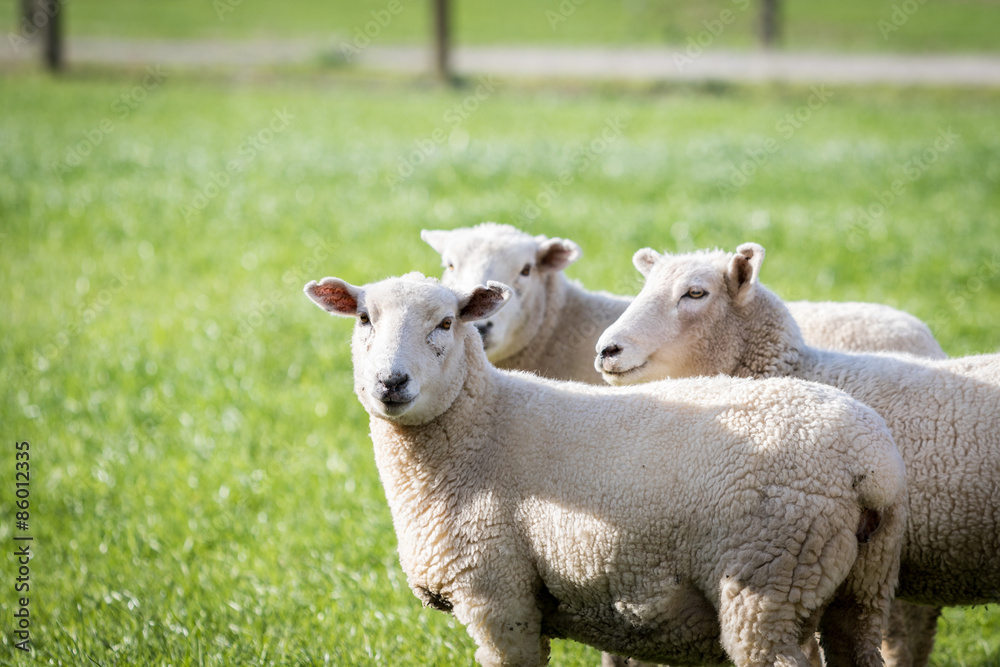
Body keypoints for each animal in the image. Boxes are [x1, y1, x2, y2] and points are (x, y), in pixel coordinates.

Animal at [302, 272, 908, 667]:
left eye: (446, 323)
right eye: (364, 318)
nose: (391, 382)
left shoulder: (498, 597)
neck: (481, 426)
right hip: (861, 589)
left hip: (767, 584)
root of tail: (869, 463)